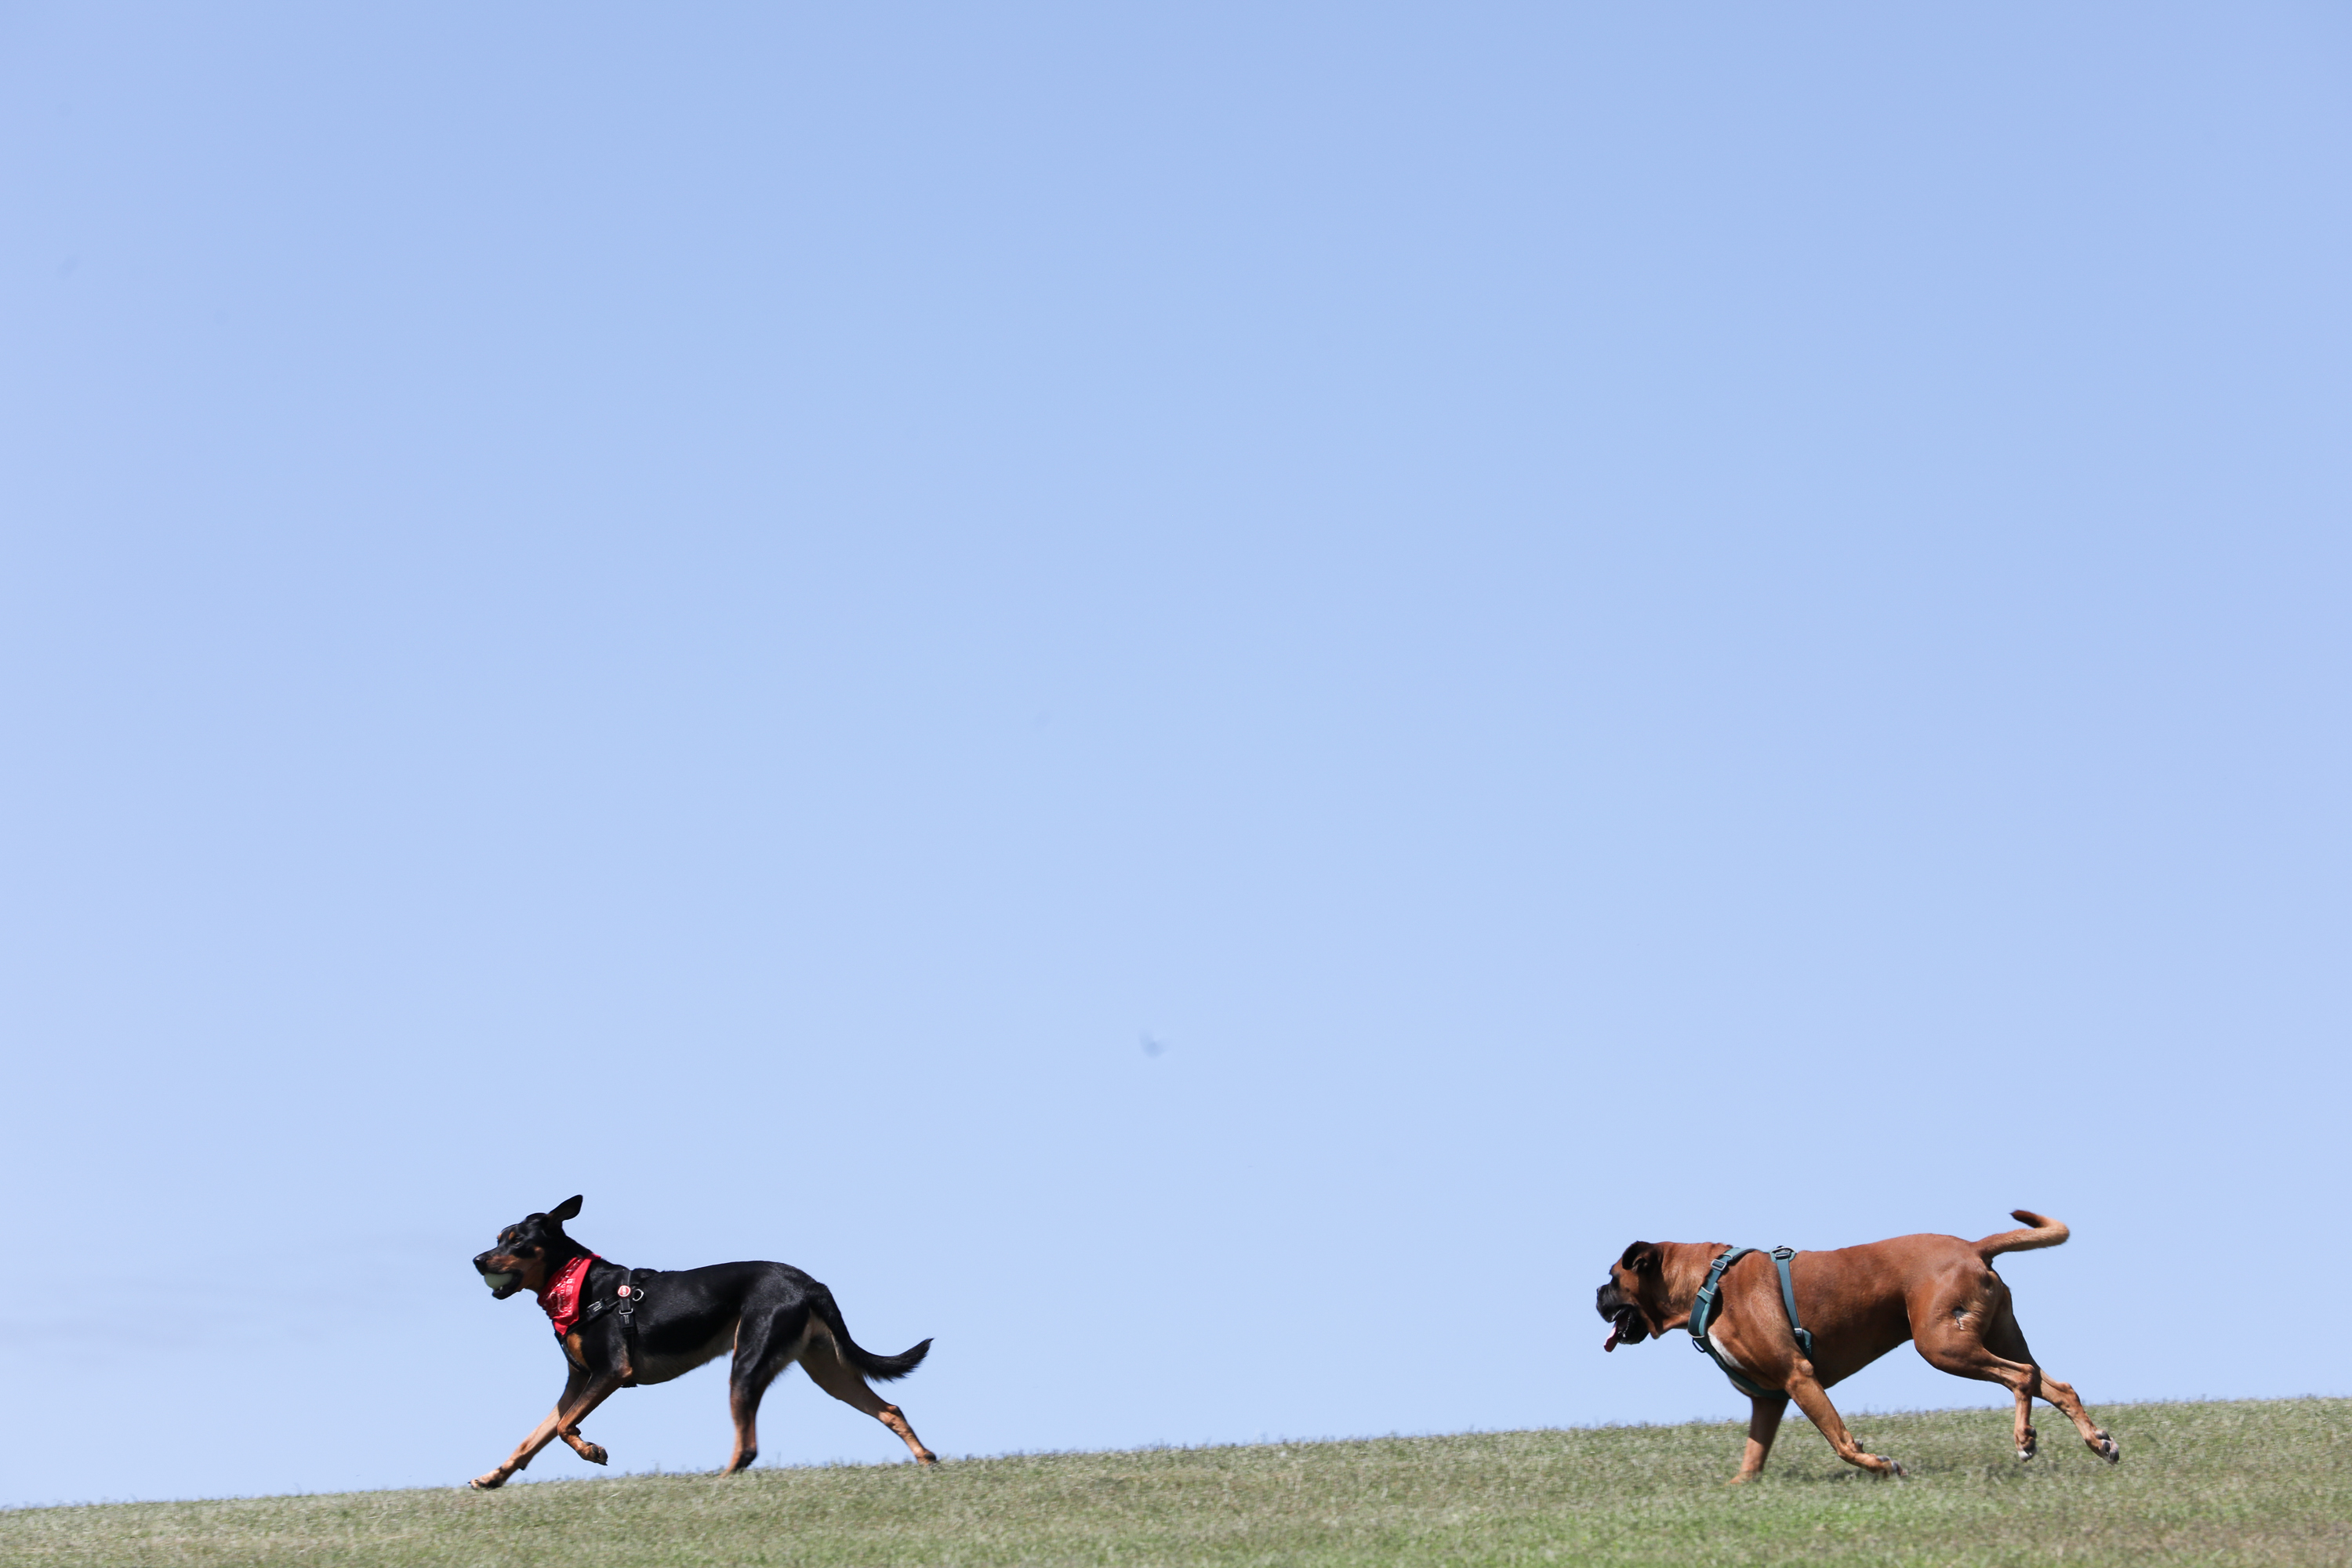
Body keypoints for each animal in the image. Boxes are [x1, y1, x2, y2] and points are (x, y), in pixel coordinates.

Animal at [463, 1194, 931, 1495]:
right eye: (499, 1237)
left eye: (517, 1240)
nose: (478, 1261)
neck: (575, 1284)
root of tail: (810, 1283)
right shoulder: (577, 1382)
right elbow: (534, 1437)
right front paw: (493, 1477)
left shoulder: (610, 1373)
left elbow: (563, 1428)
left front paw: (592, 1450)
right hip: (827, 1369)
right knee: (890, 1409)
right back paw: (927, 1460)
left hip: (748, 1363)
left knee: (748, 1447)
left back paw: (719, 1485)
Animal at [1599, 1213, 2117, 1486]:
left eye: (1613, 1277)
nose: (1595, 1295)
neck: (1708, 1283)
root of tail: (1974, 1247)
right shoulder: (1769, 1401)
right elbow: (1752, 1459)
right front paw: (1738, 1489)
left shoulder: (1799, 1377)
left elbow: (1842, 1442)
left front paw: (1881, 1465)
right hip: (1992, 1339)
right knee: (2057, 1385)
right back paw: (2099, 1443)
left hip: (1944, 1346)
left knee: (2021, 1378)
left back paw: (2024, 1439)